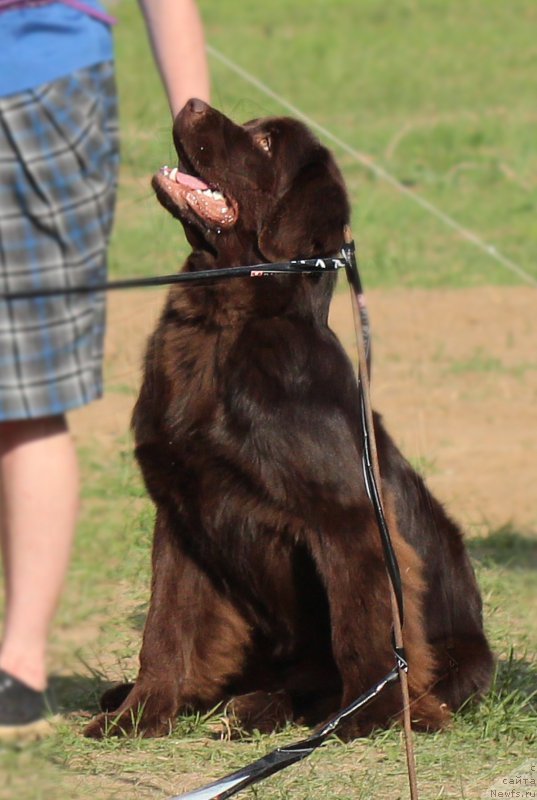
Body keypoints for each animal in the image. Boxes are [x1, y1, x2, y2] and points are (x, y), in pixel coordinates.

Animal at [85, 103, 494, 740]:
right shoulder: (180, 510)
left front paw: (364, 719)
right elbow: (164, 631)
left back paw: (266, 708)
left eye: (266, 143)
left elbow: (364, 635)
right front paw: (140, 716)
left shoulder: (350, 520)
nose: (190, 104)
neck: (222, 326)